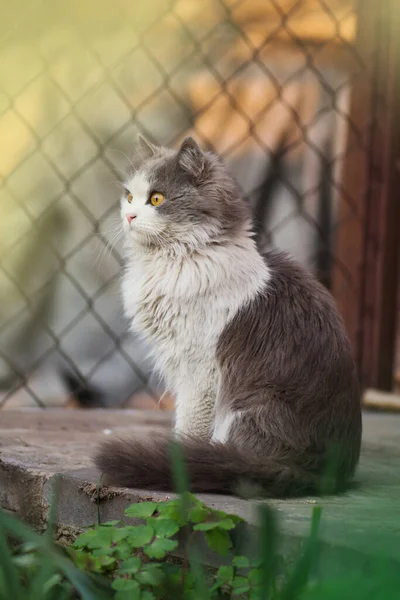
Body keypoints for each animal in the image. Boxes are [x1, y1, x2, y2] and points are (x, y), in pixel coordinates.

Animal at [96, 136, 362, 496]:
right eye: (128, 196)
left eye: (156, 198)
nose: (129, 215)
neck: (181, 257)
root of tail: (328, 474)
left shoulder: (200, 372)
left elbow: (189, 427)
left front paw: (179, 465)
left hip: (245, 408)